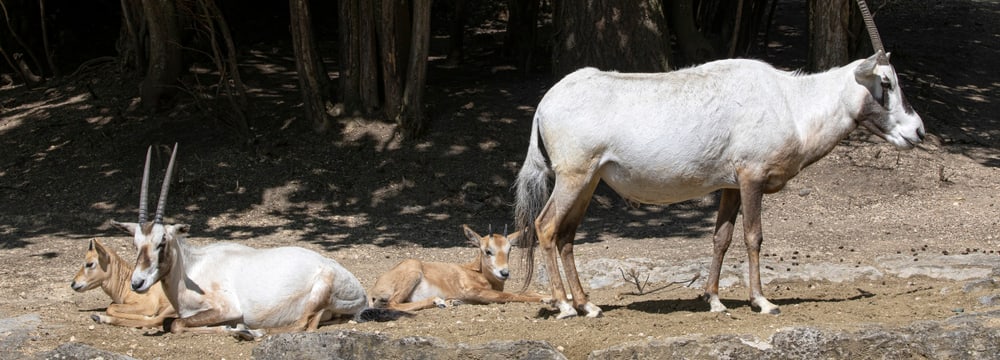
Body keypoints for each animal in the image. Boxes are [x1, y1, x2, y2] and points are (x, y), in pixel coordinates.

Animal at [117, 145, 390, 338]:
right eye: (135, 243)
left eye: (162, 241)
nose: (137, 283)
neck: (191, 270)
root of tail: (359, 290)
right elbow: (170, 322)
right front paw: (231, 329)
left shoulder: (227, 308)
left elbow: (175, 324)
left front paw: (235, 328)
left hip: (319, 292)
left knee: (302, 325)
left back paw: (252, 332)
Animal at [370, 225, 556, 312]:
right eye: (488, 250)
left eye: (509, 249)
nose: (504, 273)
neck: (476, 272)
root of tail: (377, 286)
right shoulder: (472, 291)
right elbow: (510, 295)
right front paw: (546, 299)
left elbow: (524, 291)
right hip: (413, 271)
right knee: (392, 304)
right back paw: (439, 301)